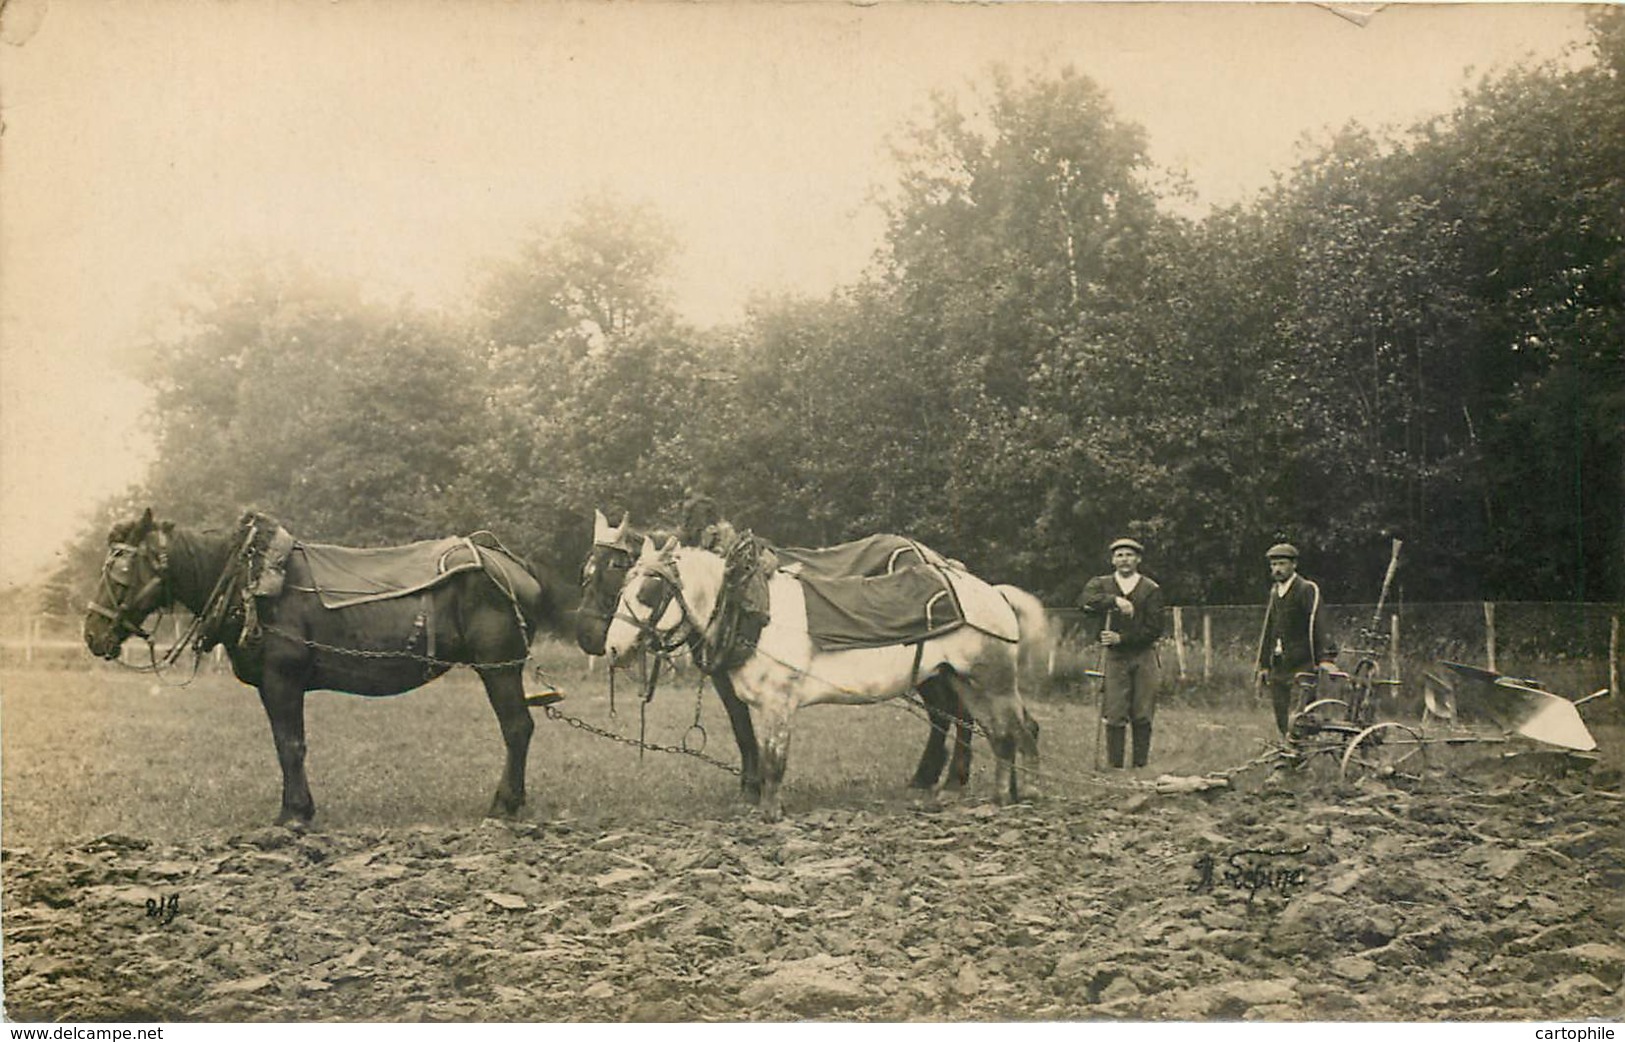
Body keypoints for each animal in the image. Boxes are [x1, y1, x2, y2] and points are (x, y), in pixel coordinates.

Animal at [84, 507, 565, 825]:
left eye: (120, 573)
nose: (91, 633)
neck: (246, 582)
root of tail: (511, 565)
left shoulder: (282, 680)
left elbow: (290, 746)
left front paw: (294, 815)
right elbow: (286, 746)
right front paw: (293, 808)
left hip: (498, 666)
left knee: (517, 729)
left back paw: (503, 806)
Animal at [575, 510, 975, 796]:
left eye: (616, 567)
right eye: (586, 570)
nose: (591, 639)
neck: (727, 596)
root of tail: (936, 558)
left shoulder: (728, 677)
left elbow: (742, 727)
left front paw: (751, 787)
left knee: (954, 712)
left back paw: (947, 779)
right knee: (944, 712)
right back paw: (927, 777)